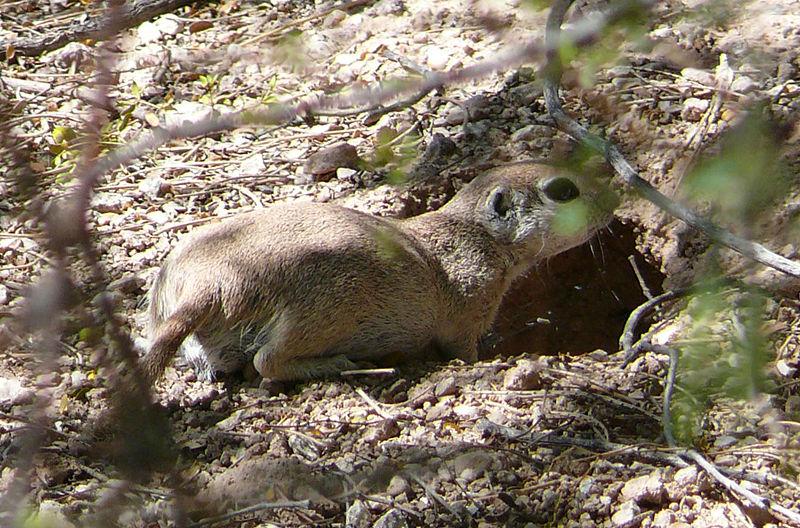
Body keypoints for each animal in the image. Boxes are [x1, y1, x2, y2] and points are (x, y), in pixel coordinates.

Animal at [141, 161, 616, 384]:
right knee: (266, 361)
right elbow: (462, 347)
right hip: (325, 309)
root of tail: (208, 285)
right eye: (563, 190)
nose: (613, 202)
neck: (475, 233)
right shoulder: (473, 300)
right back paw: (336, 364)